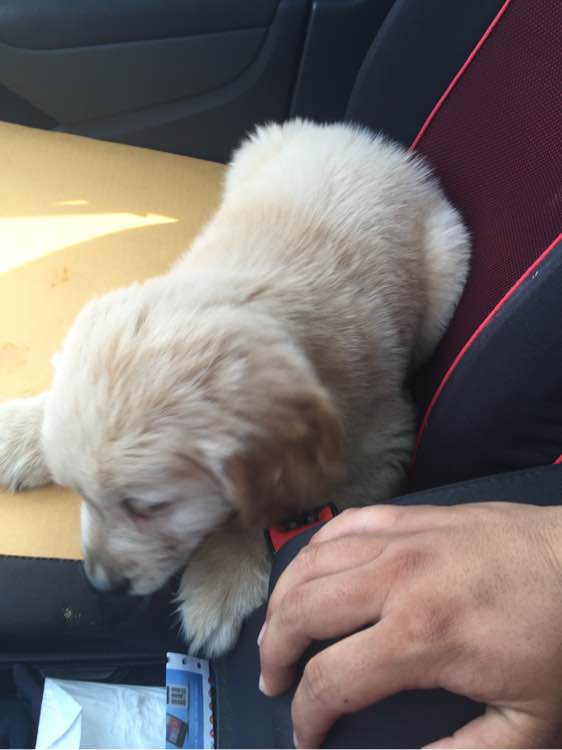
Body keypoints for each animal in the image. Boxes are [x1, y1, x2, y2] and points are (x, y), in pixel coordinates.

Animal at [0, 120, 470, 656]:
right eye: (80, 492)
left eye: (150, 507)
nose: (102, 584)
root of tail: (367, 139)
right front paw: (21, 430)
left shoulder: (379, 445)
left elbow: (275, 505)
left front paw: (221, 577)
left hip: (448, 267)